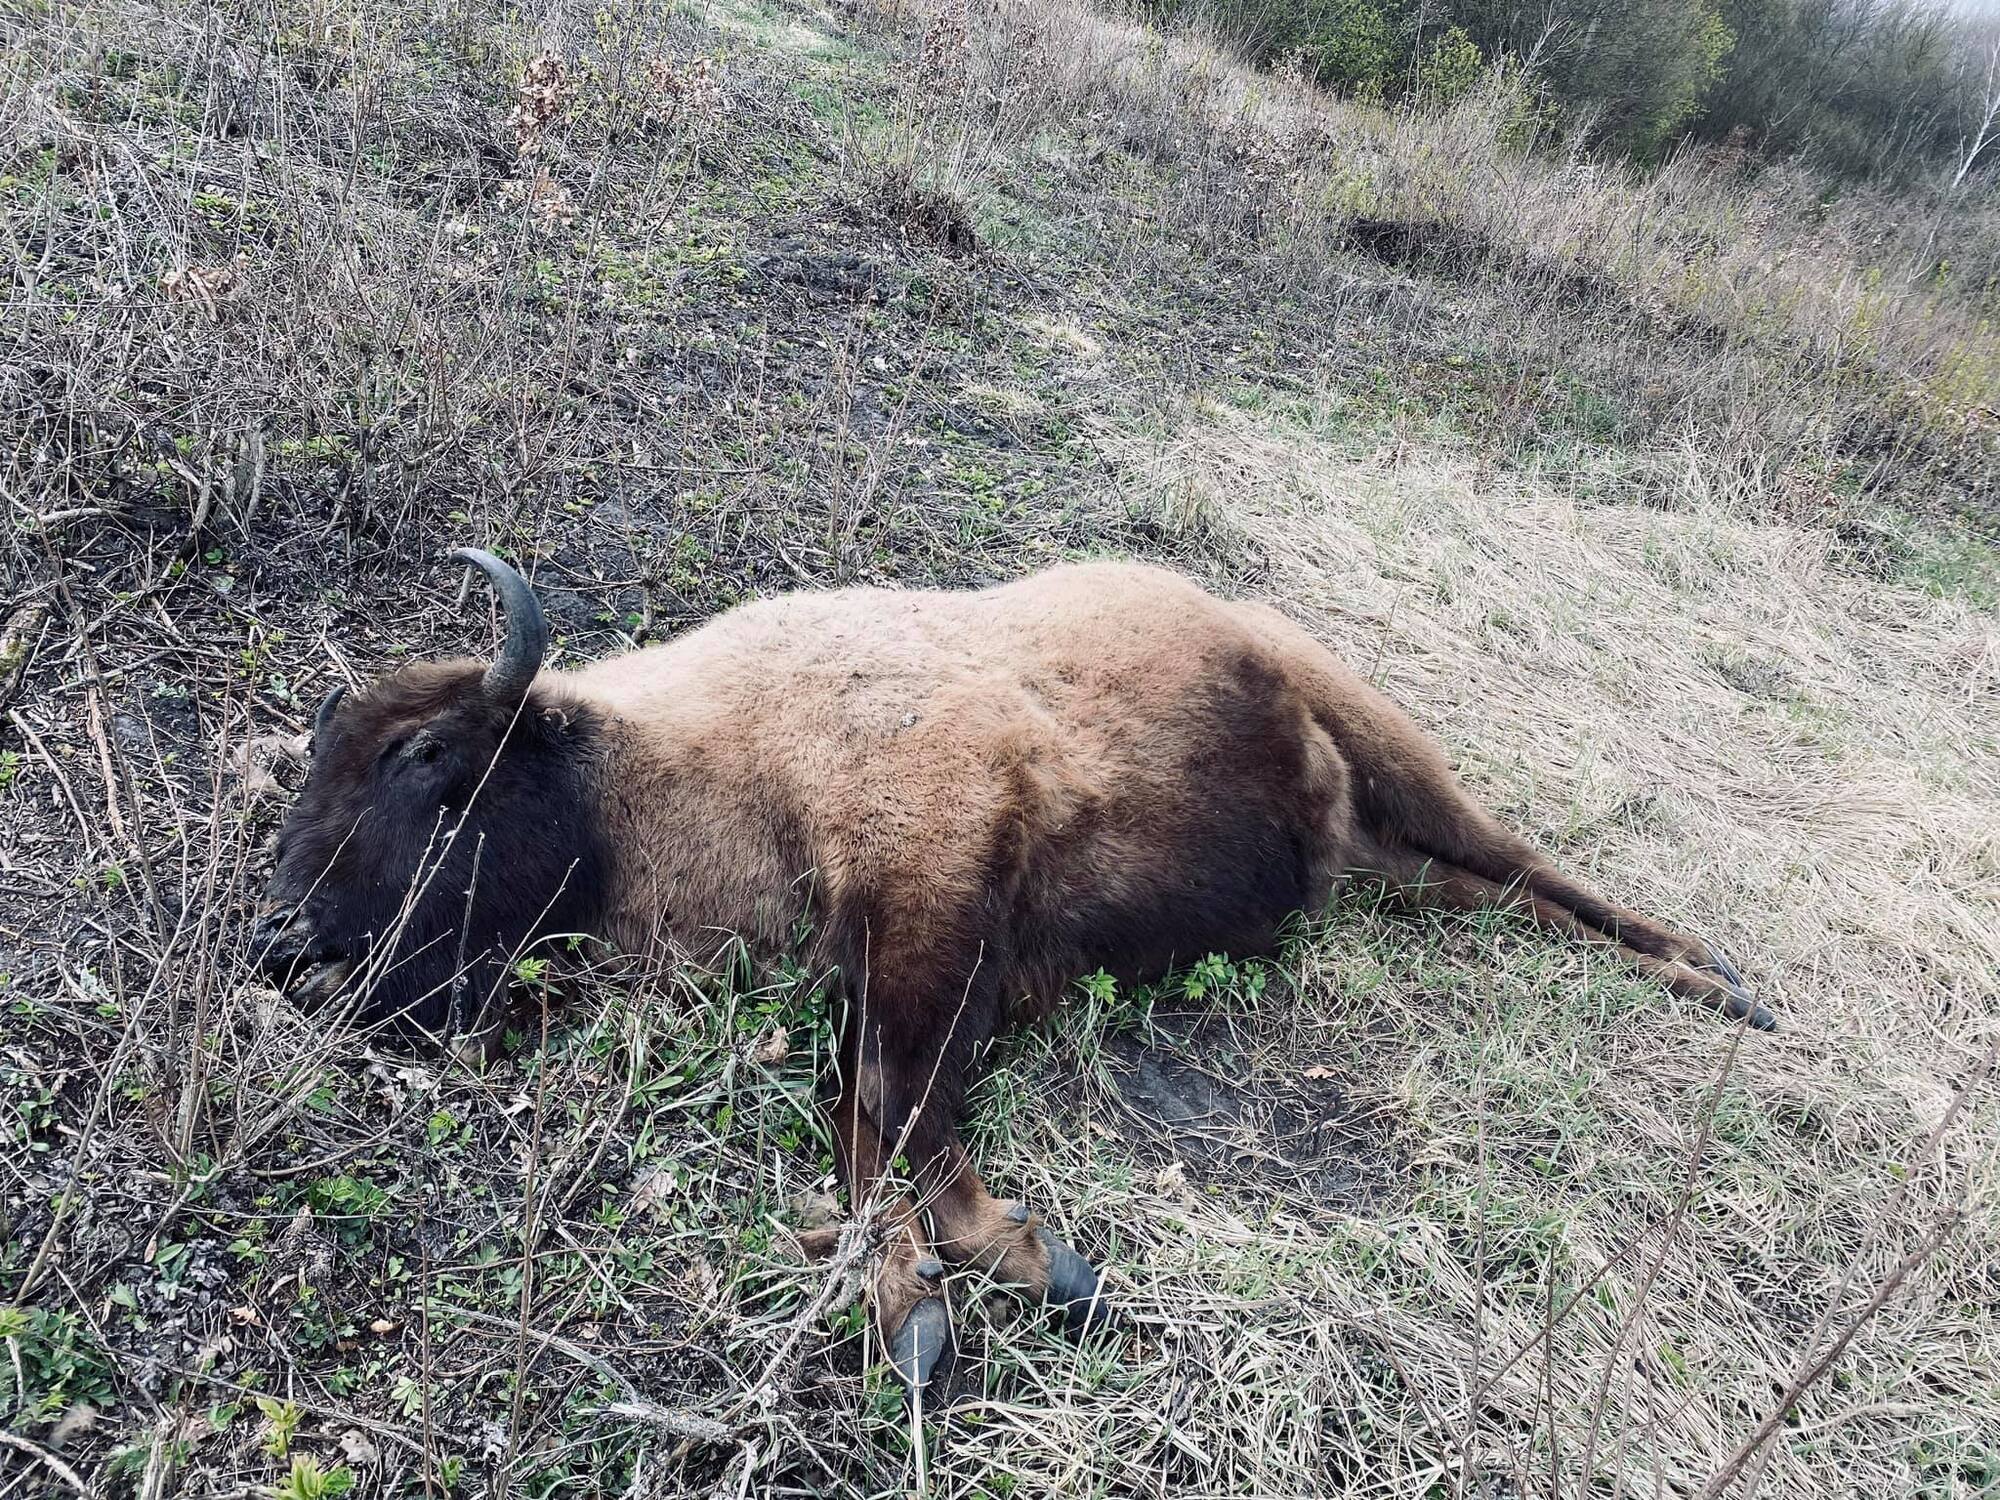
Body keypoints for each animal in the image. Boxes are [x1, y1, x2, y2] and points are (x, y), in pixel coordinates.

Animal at [258, 556, 1776, 1408]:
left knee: (1535, 866)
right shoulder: (897, 971)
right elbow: (862, 1127)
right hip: (1383, 858)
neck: (694, 752)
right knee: (1500, 890)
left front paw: (1025, 1264)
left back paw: (1729, 988)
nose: (293, 946)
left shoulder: (936, 912)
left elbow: (900, 1115)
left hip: (1398, 758)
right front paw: (913, 1305)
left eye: (431, 764)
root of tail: (1234, 616)